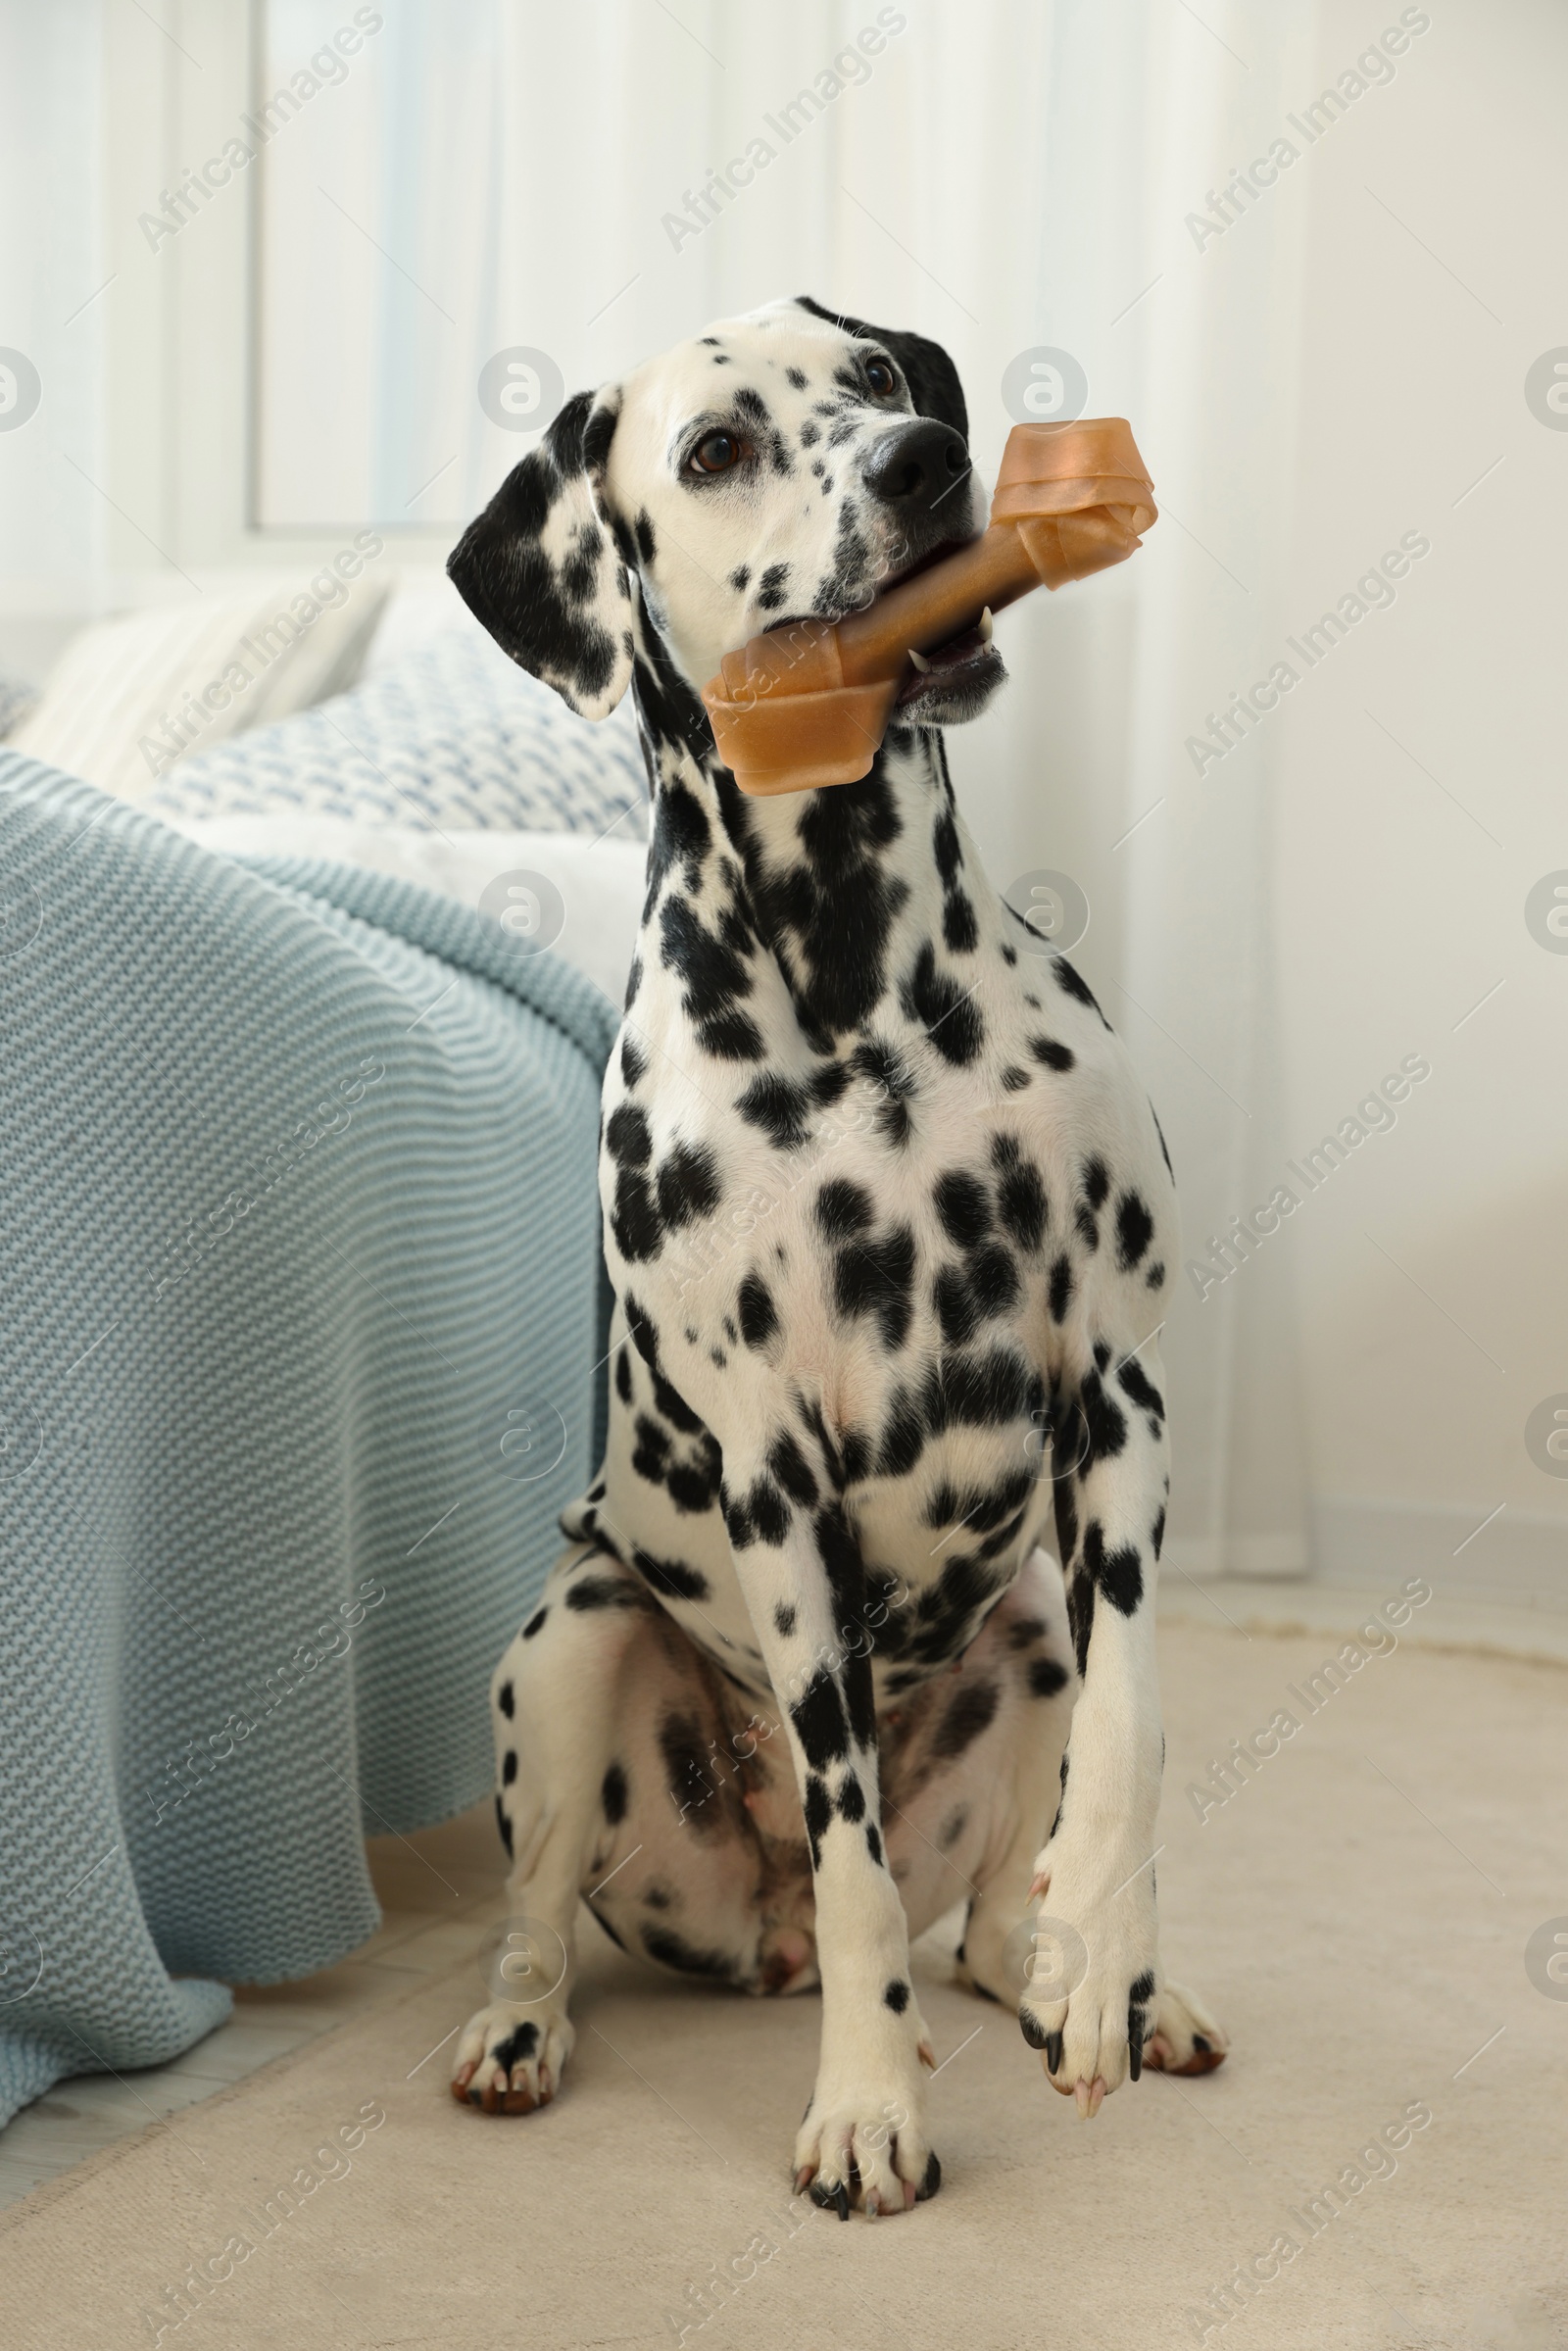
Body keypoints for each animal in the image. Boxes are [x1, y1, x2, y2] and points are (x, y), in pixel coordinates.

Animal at [441, 289, 1222, 2200]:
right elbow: (857, 1845)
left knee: (999, 1918)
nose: (927, 463)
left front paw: (1112, 1957)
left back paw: (1097, 1984)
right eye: (716, 446)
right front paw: (868, 2100)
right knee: (546, 1916)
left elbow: (1134, 1731)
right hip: (569, 1638)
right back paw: (518, 2031)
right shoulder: (773, 1478)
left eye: (872, 379)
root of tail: (755, 1934)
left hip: (1021, 1628)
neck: (866, 988)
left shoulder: (1120, 1391)